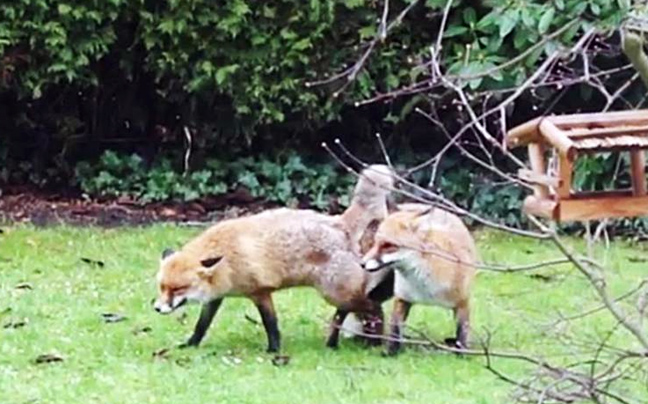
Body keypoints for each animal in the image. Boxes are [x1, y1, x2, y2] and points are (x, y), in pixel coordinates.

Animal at [155, 164, 394, 350]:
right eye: (162, 287)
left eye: (178, 289)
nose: (156, 308)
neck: (228, 261)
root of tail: (339, 222)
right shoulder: (216, 296)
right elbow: (202, 325)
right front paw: (191, 344)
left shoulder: (260, 292)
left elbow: (271, 324)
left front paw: (274, 351)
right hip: (340, 294)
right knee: (349, 312)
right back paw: (336, 342)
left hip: (336, 293)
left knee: (375, 308)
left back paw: (373, 342)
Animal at [362, 204, 478, 356]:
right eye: (375, 243)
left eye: (388, 245)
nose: (362, 263)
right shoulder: (402, 298)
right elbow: (395, 329)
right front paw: (391, 352)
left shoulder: (463, 302)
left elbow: (462, 332)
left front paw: (462, 354)